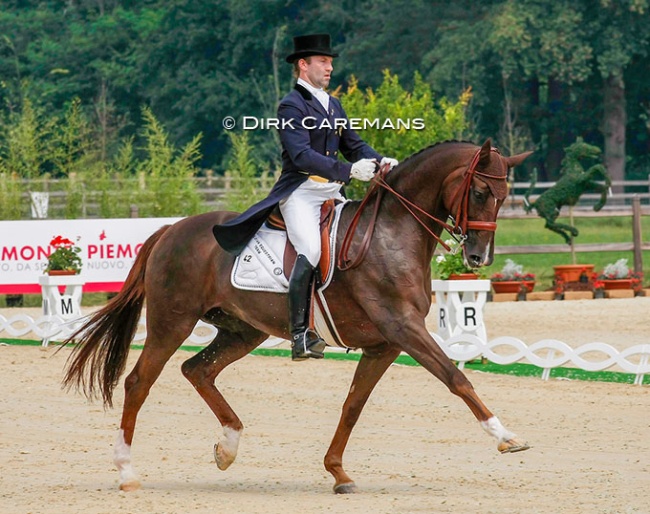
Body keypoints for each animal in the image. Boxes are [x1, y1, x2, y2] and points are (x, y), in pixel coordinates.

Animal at [62, 138, 532, 490]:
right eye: (479, 192)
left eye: (505, 198)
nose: (478, 257)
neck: (390, 233)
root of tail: (170, 229)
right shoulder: (403, 328)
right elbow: (456, 377)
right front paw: (505, 436)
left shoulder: (383, 345)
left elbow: (353, 404)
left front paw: (338, 472)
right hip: (171, 322)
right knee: (139, 382)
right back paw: (127, 471)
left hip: (242, 330)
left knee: (198, 370)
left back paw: (228, 447)